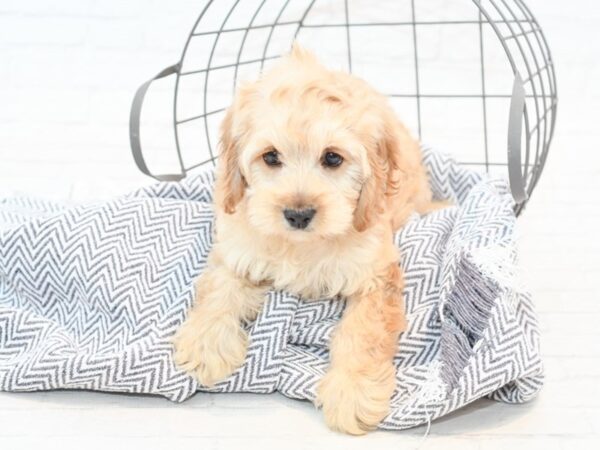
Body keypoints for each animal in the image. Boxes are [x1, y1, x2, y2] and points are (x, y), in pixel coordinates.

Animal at [173, 46, 440, 436]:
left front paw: (353, 391)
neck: (301, 244)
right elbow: (219, 287)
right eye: (271, 156)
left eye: (332, 157)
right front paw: (206, 343)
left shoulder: (375, 273)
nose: (298, 214)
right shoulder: (236, 243)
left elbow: (363, 332)